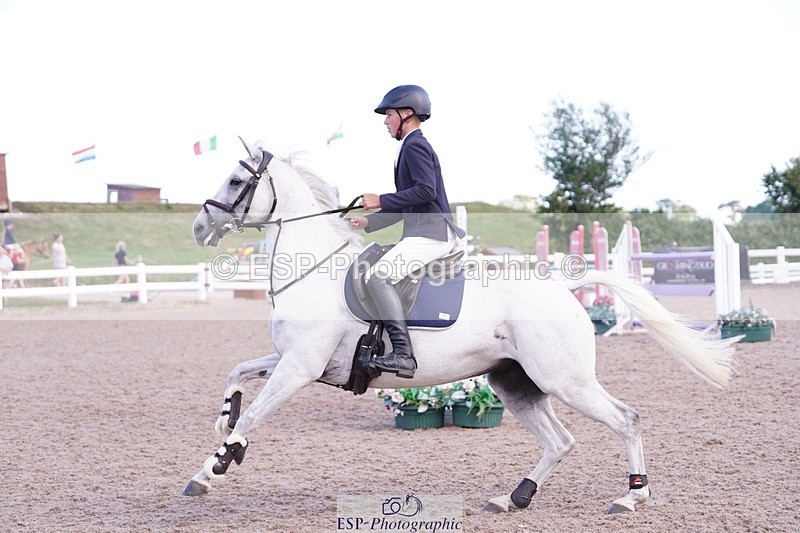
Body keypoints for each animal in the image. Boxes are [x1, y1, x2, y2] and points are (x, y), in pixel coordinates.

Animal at [185, 138, 739, 514]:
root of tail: (563, 287)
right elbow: (238, 373)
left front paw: (213, 468)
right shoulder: (296, 361)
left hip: (566, 380)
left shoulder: (299, 367)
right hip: (515, 382)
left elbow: (256, 417)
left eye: (235, 181)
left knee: (626, 419)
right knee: (560, 441)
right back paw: (513, 497)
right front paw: (225, 423)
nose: (199, 227)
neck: (315, 270)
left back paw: (630, 498)